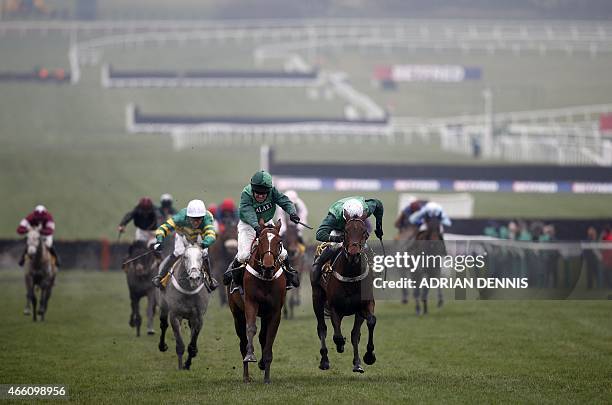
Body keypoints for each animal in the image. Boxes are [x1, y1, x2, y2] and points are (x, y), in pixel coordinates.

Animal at [227, 218, 286, 382]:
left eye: (279, 241)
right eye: (260, 241)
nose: (268, 267)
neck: (266, 279)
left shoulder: (275, 311)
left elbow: (269, 336)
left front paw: (266, 373)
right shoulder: (251, 303)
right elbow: (251, 328)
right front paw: (250, 356)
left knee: (262, 336)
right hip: (237, 314)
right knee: (242, 341)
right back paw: (246, 376)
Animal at [310, 215, 378, 372]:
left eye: (364, 232)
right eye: (346, 231)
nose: (353, 252)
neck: (351, 277)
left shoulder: (364, 305)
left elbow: (370, 322)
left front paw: (369, 356)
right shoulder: (334, 307)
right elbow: (337, 335)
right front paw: (340, 346)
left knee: (355, 334)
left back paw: (357, 363)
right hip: (317, 298)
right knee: (322, 329)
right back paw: (325, 360)